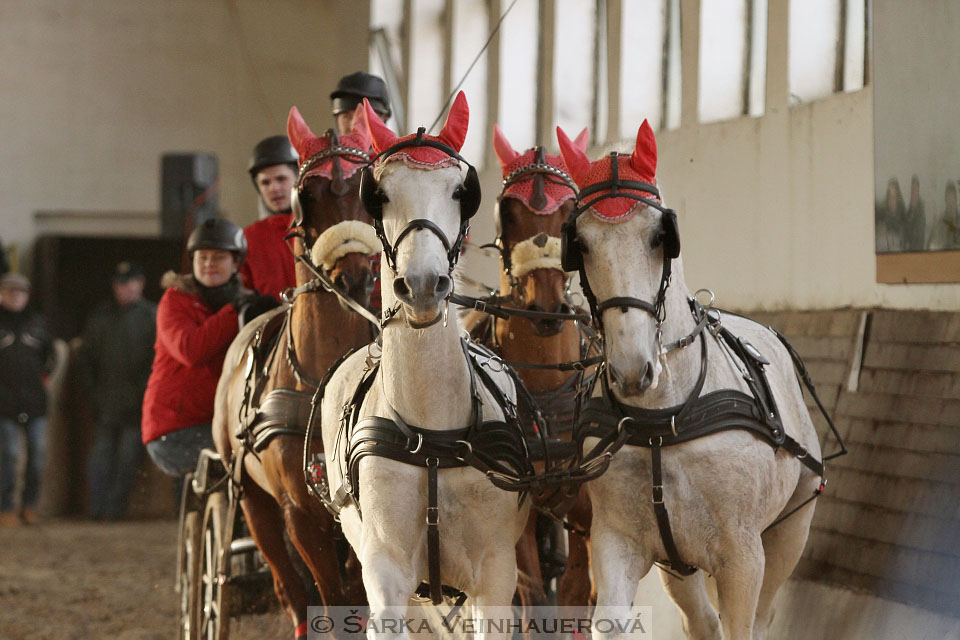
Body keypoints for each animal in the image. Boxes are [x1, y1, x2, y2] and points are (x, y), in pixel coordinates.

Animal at [214, 107, 378, 636]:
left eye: (368, 187)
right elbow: (331, 599)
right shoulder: (301, 513)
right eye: (308, 195)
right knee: (289, 588)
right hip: (252, 501)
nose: (355, 276)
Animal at [320, 92, 532, 636]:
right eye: (379, 194)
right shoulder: (387, 570)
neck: (432, 433)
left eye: (460, 191)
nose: (420, 285)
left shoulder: (495, 575)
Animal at [556, 121, 824, 640]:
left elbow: (742, 626)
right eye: (581, 244)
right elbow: (613, 620)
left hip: (790, 530)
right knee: (700, 619)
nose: (633, 370)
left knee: (762, 615)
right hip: (678, 566)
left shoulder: (743, 557)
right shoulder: (617, 540)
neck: (665, 416)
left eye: (659, 237)